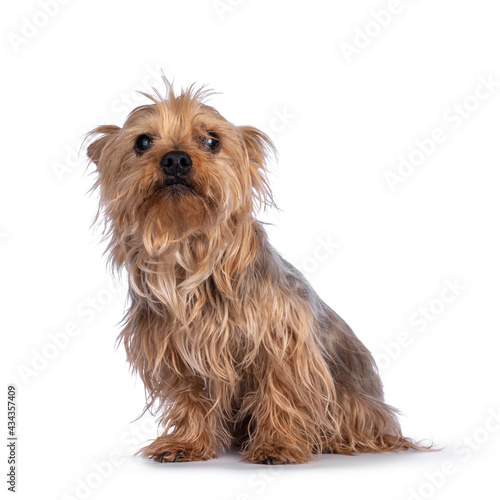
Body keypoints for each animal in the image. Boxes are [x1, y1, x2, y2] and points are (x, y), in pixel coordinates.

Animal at [88, 83, 424, 464]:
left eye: (211, 140)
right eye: (142, 142)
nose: (175, 159)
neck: (190, 255)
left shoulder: (282, 341)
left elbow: (280, 390)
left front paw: (276, 445)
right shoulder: (176, 352)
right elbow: (190, 397)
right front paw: (186, 443)